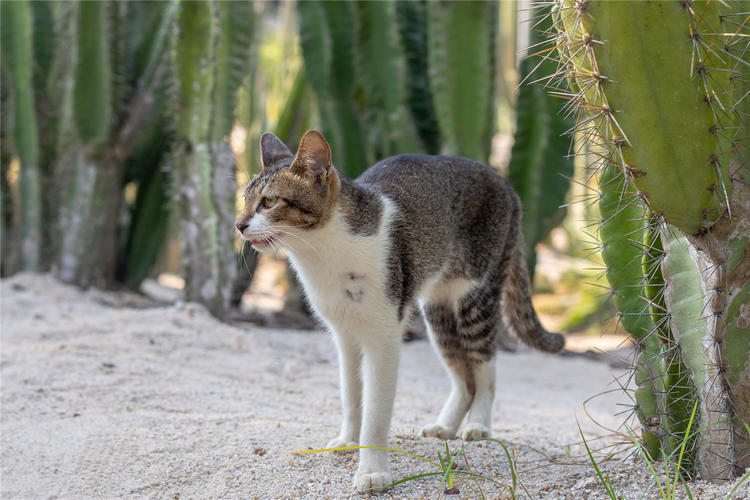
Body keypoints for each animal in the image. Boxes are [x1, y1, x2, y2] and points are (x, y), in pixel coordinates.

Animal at [235, 130, 564, 492]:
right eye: (245, 200)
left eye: (268, 202)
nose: (239, 224)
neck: (323, 254)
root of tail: (506, 184)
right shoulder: (344, 334)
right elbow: (351, 396)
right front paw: (348, 441)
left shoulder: (384, 335)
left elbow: (376, 412)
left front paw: (372, 472)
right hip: (437, 310)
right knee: (464, 379)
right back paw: (445, 426)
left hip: (475, 297)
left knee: (484, 370)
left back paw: (478, 425)